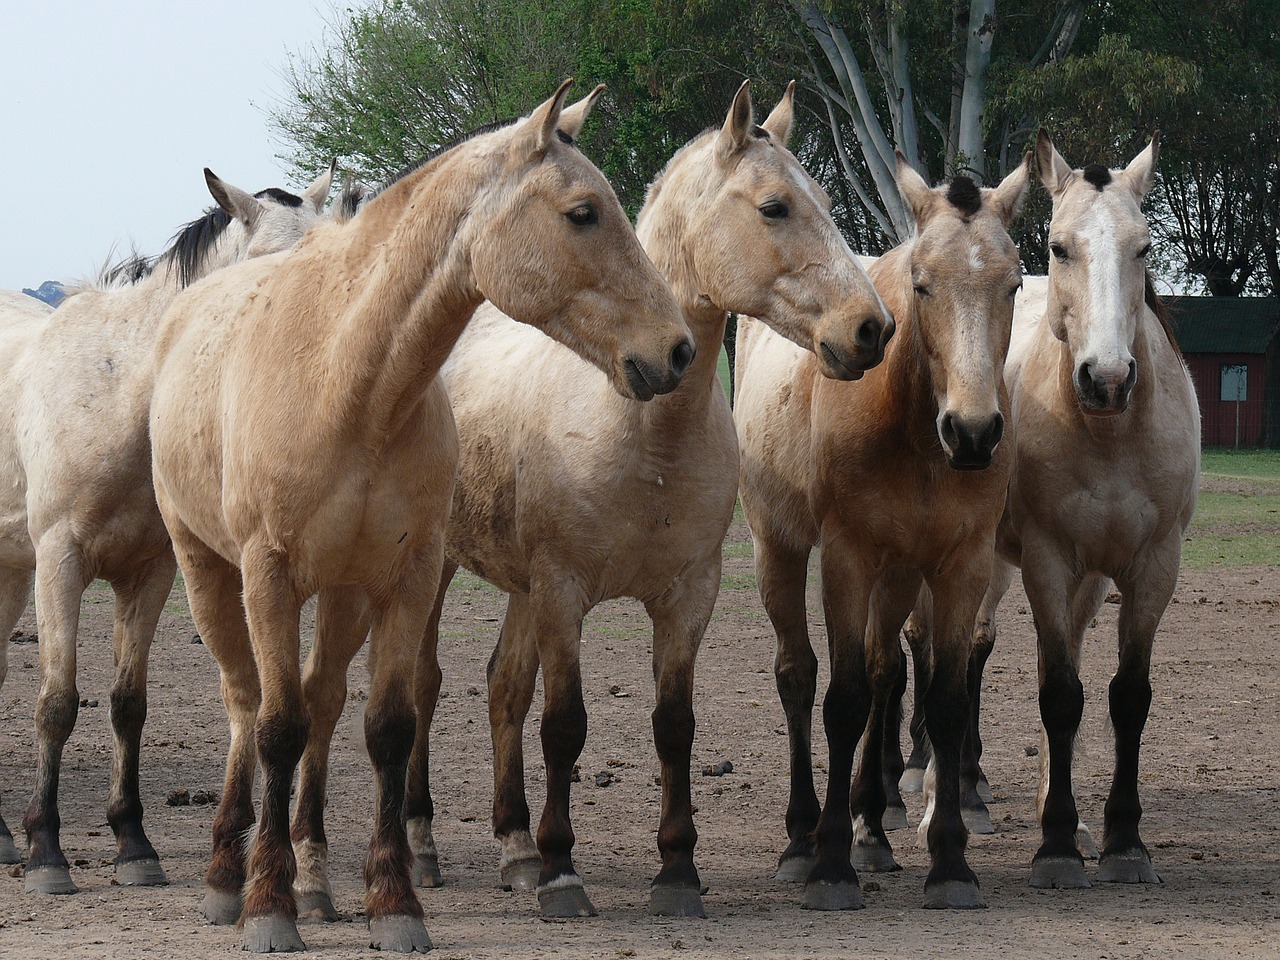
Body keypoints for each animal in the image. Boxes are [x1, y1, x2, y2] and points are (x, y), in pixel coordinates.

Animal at [1, 168, 330, 901]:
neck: (115, 394)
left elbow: (128, 704)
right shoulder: (59, 561)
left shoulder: (150, 569)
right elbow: (57, 704)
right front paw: (46, 853)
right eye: (271, 264)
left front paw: (133, 844)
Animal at [148, 82, 696, 957]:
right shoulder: (269, 576)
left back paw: (313, 878)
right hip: (208, 571)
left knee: (322, 698)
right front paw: (268, 907)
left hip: (344, 594)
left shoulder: (405, 577)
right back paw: (229, 877)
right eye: (582, 212)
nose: (675, 350)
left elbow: (387, 728)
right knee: (245, 702)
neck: (349, 384)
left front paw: (392, 900)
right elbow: (276, 727)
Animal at [320, 82, 890, 926]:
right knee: (426, 684)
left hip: (519, 587)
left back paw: (514, 846)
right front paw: (563, 872)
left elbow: (673, 726)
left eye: (822, 198)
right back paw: (427, 847)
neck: (644, 439)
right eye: (775, 206)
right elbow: (565, 725)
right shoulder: (565, 591)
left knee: (503, 687)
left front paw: (676, 870)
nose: (871, 329)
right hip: (442, 571)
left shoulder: (687, 597)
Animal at [732, 152, 1029, 911]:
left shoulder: (961, 565)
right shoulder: (848, 558)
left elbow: (941, 699)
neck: (915, 428)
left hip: (899, 574)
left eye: (1014, 284)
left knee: (883, 669)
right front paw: (831, 864)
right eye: (922, 285)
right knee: (799, 675)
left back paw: (872, 824)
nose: (973, 433)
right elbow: (842, 701)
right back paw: (803, 839)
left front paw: (949, 862)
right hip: (780, 548)